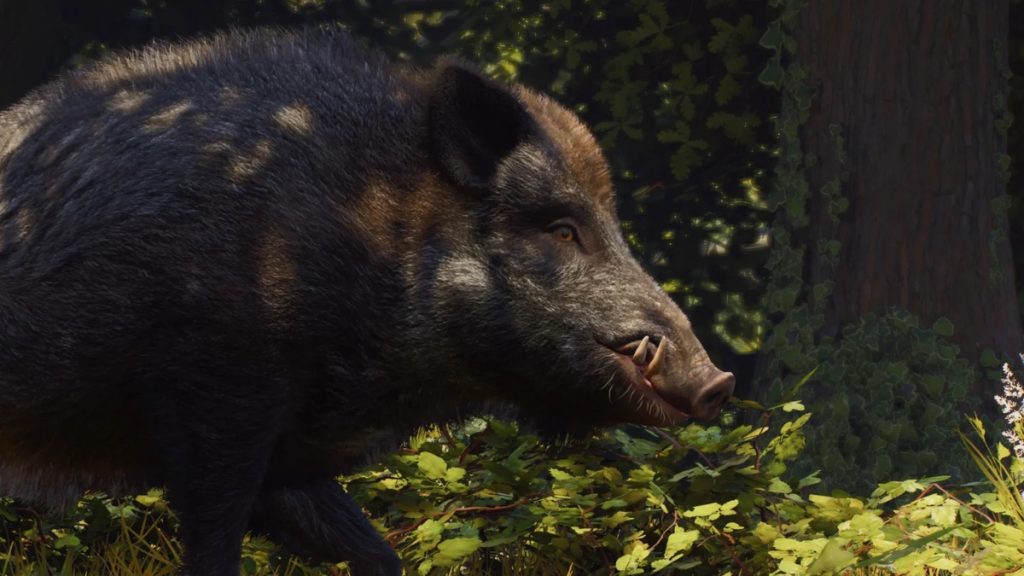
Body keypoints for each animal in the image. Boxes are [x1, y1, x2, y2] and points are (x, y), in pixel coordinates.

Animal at [0, 28, 734, 575]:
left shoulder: (286, 455)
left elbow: (372, 550)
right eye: (562, 229)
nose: (718, 382)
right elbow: (214, 549)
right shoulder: (217, 391)